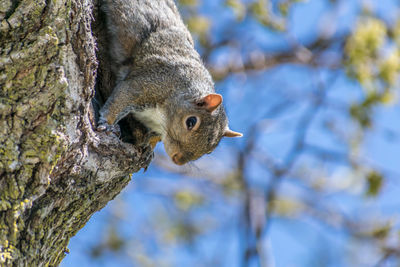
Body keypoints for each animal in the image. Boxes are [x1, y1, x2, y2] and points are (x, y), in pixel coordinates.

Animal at [99, 0, 244, 165]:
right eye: (191, 122)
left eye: (211, 150)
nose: (178, 161)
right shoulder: (148, 85)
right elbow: (121, 99)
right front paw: (107, 124)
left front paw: (149, 148)